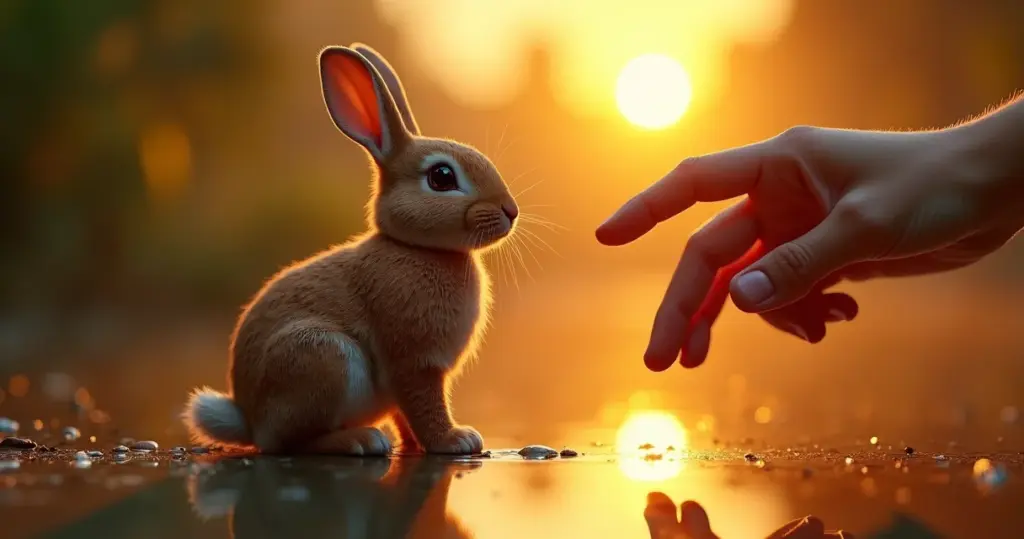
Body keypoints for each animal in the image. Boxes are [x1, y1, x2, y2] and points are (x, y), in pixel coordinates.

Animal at [181, 42, 518, 455]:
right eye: (442, 177)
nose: (511, 211)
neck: (417, 246)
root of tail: (248, 419)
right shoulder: (414, 364)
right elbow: (425, 407)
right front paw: (455, 440)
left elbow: (406, 415)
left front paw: (417, 444)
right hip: (325, 357)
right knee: (286, 442)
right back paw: (360, 440)